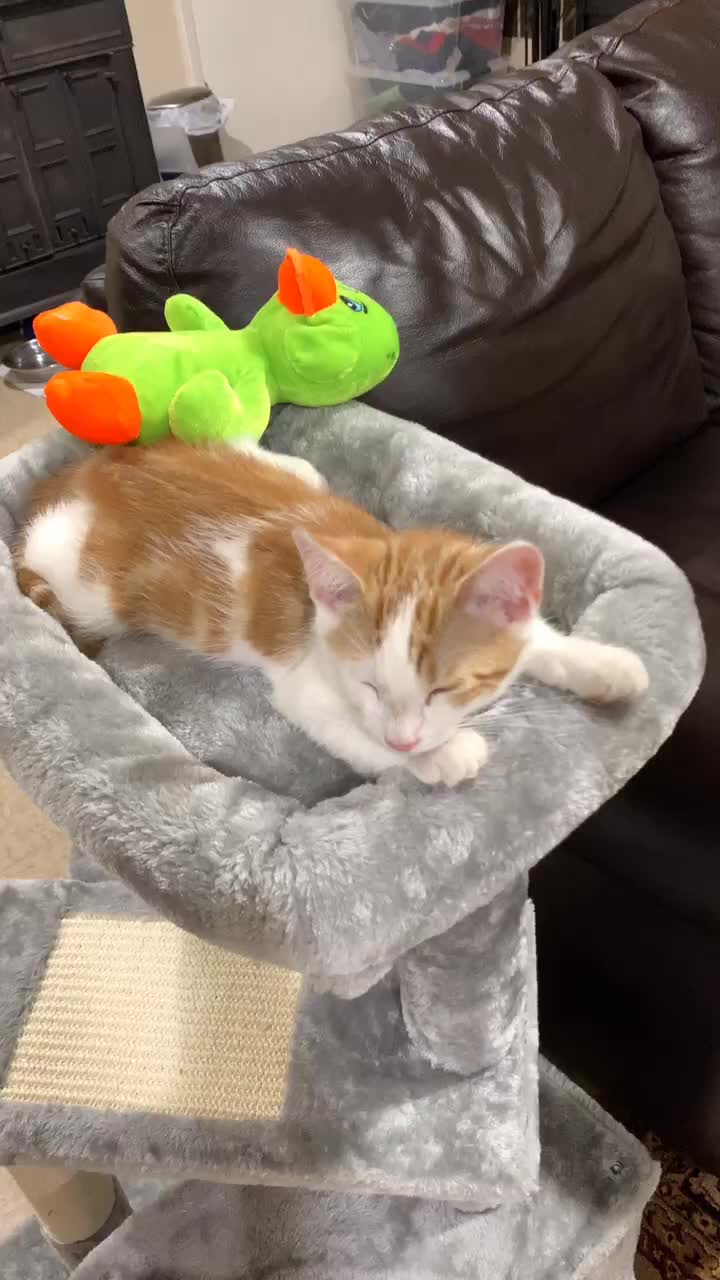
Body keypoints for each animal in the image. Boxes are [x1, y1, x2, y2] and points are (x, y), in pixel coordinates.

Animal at [15, 439, 649, 788]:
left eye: (443, 689)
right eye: (369, 686)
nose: (405, 739)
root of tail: (66, 477)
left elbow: (536, 638)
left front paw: (603, 664)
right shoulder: (306, 687)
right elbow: (355, 739)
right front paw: (441, 757)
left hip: (294, 470)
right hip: (81, 584)